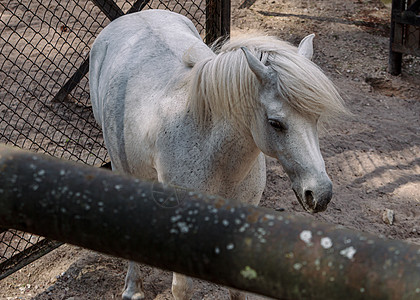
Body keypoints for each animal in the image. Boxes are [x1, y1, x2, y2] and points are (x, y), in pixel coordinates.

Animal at [90, 9, 346, 300]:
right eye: (275, 123)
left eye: (316, 118)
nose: (320, 194)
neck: (214, 154)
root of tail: (133, 17)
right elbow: (182, 288)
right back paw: (133, 287)